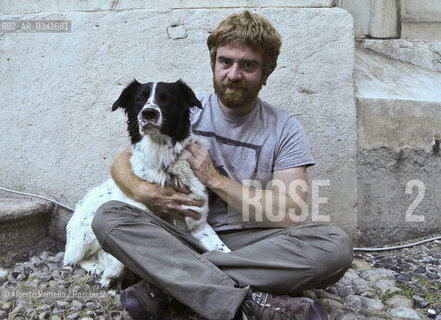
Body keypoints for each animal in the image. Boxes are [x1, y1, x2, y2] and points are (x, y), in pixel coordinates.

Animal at [65, 79, 230, 288]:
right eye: (140, 99)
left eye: (166, 99)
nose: (148, 113)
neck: (164, 163)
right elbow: (120, 256)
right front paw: (109, 275)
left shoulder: (197, 223)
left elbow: (223, 250)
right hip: (88, 229)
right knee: (71, 259)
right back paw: (95, 267)